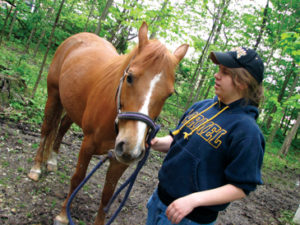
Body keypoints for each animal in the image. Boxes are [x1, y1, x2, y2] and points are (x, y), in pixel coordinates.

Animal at [27, 21, 188, 225]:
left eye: (169, 94)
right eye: (129, 77)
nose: (131, 146)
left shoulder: (120, 161)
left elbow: (107, 194)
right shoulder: (87, 145)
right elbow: (78, 178)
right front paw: (63, 216)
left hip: (71, 106)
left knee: (60, 129)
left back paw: (52, 159)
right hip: (54, 95)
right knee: (47, 129)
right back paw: (36, 167)